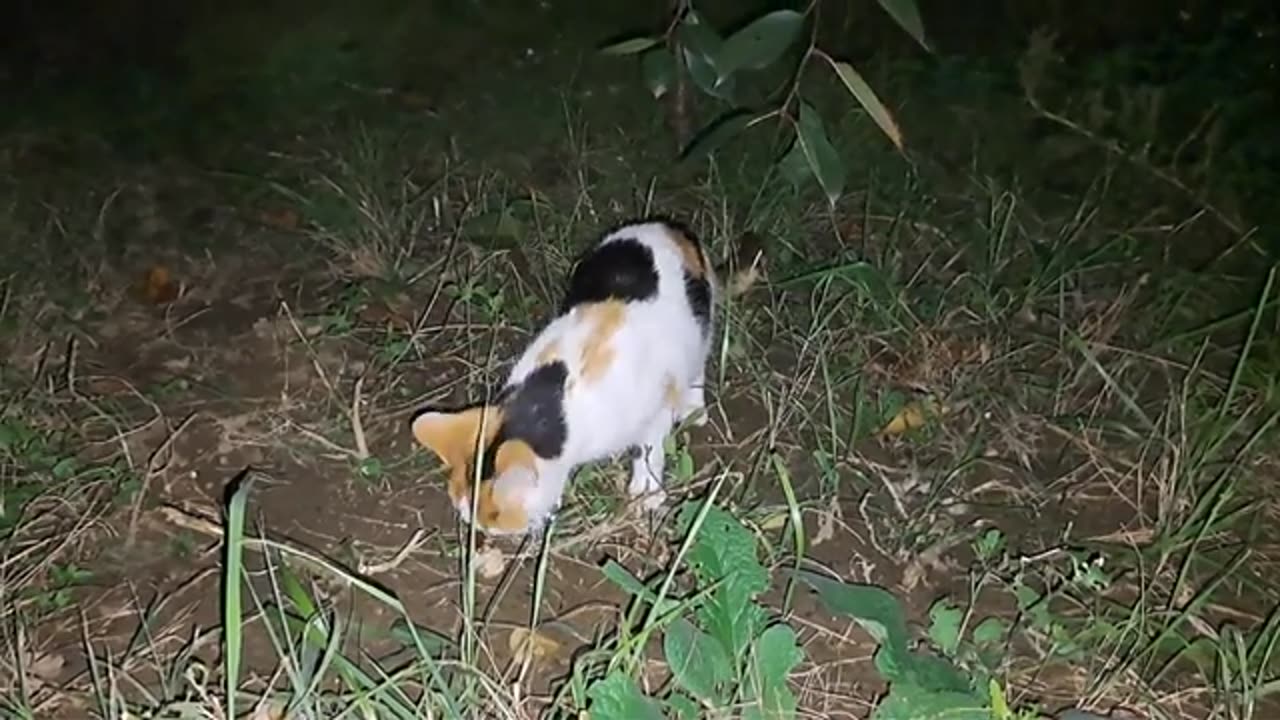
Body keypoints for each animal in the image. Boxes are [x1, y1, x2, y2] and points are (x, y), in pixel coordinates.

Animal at [414, 215, 762, 535]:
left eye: (494, 519)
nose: (480, 533)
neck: (554, 401)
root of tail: (667, 225)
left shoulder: (656, 403)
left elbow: (648, 447)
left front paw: (646, 492)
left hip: (701, 323)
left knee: (699, 360)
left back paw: (694, 408)